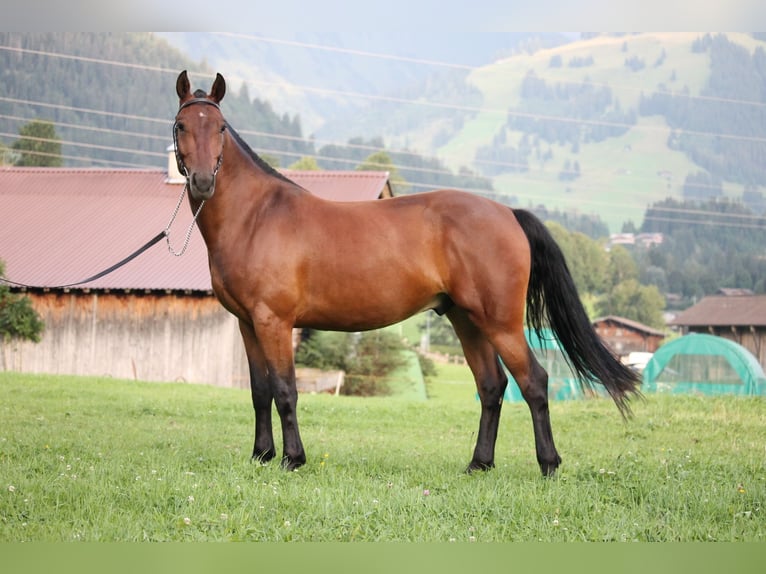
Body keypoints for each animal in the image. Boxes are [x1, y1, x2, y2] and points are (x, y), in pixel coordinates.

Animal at [172, 71, 640, 476]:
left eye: (220, 128)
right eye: (180, 126)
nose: (202, 181)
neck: (257, 216)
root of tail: (507, 213)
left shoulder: (275, 321)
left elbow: (286, 391)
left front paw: (292, 459)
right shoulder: (248, 323)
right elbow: (259, 391)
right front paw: (261, 455)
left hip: (501, 323)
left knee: (534, 382)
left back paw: (548, 464)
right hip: (466, 320)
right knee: (492, 386)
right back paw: (479, 464)